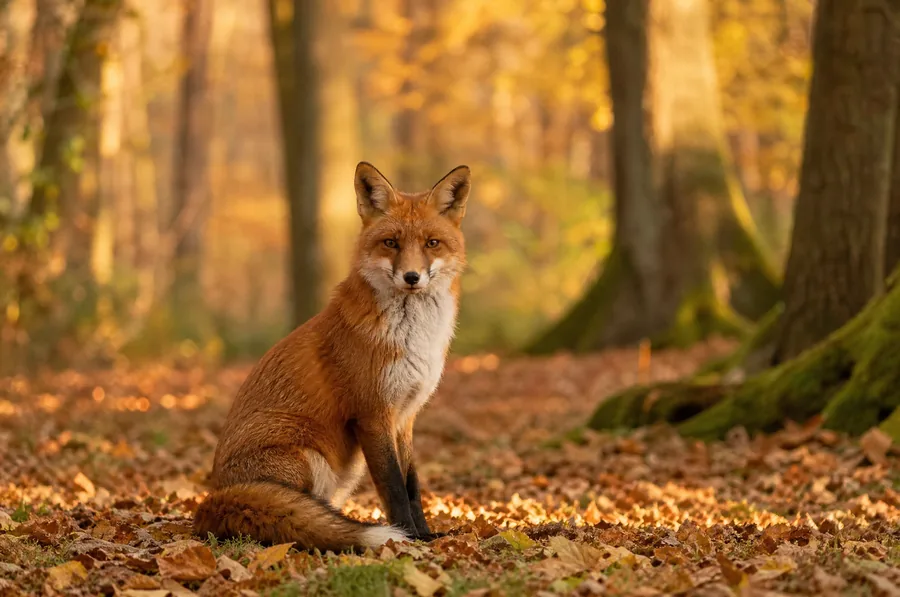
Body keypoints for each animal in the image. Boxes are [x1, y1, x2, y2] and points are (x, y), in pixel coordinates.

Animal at [192, 162, 471, 552]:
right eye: (391, 243)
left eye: (432, 243)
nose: (412, 277)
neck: (414, 337)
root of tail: (213, 497)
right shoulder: (372, 413)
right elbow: (394, 488)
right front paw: (408, 539)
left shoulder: (405, 417)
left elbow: (412, 485)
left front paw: (426, 534)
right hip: (311, 458)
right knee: (291, 512)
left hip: (345, 469)